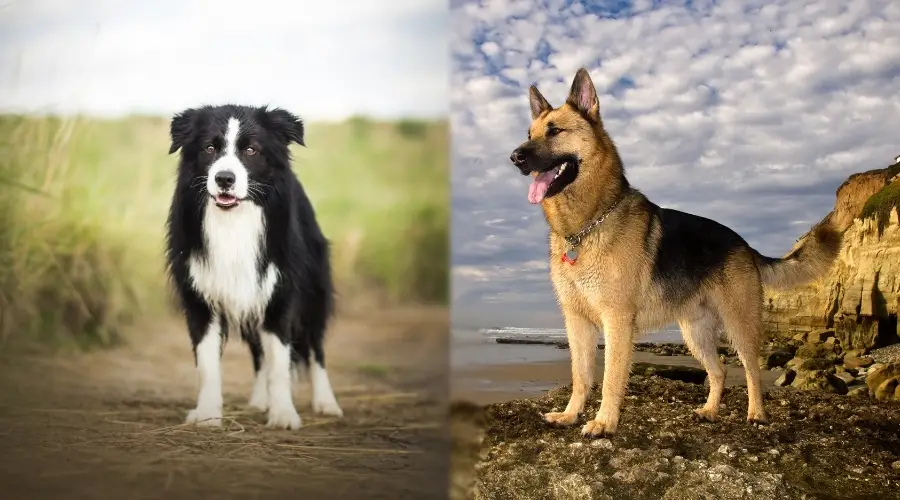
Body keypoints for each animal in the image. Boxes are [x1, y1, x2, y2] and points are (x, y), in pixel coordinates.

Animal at [163, 102, 342, 430]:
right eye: (209, 148)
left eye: (251, 150)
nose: (224, 179)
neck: (234, 220)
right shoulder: (200, 295)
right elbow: (207, 365)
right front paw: (207, 414)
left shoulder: (280, 294)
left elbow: (281, 363)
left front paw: (283, 415)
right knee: (260, 353)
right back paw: (259, 401)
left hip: (313, 292)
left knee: (315, 349)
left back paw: (326, 403)